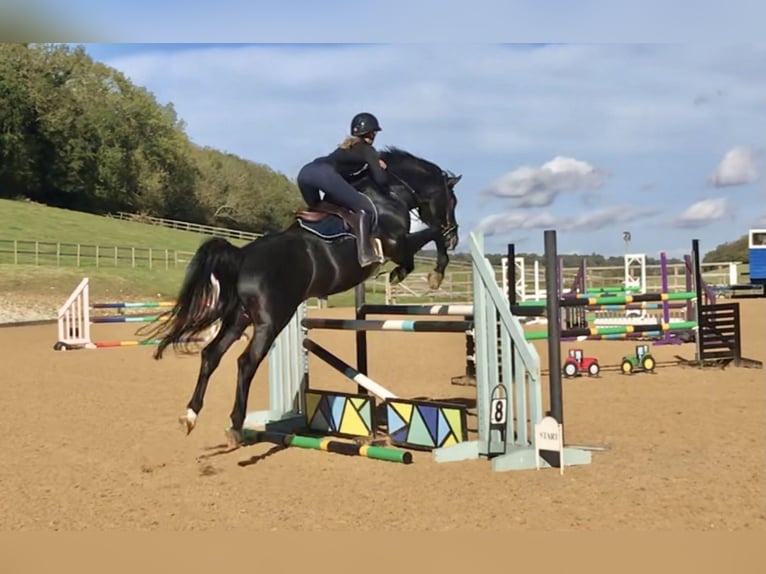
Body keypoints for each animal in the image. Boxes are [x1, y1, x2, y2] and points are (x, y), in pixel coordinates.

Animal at [148, 146, 464, 448]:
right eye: (453, 202)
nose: (455, 236)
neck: (389, 193)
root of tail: (242, 256)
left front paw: (409, 273)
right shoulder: (399, 244)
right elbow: (427, 238)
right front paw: (431, 273)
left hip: (239, 318)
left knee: (211, 355)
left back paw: (190, 416)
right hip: (271, 321)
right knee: (246, 362)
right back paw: (235, 425)